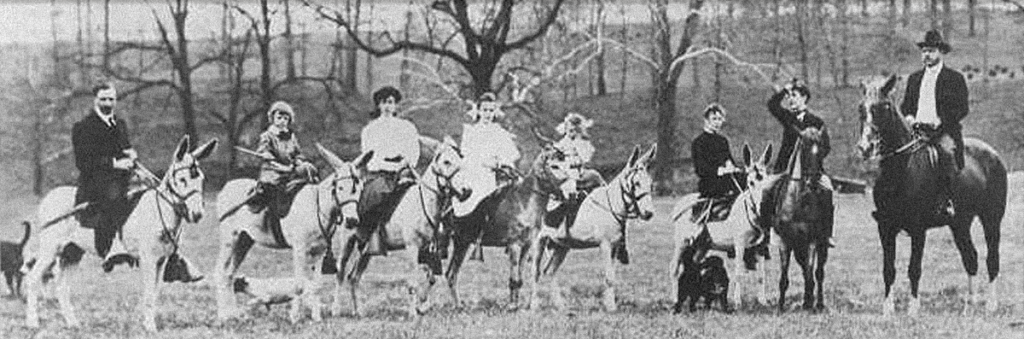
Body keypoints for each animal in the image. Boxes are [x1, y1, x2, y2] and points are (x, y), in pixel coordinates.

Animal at [444, 146, 581, 307]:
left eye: (571, 166)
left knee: (451, 275)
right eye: (555, 166)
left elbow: (520, 279)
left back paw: (458, 305)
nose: (572, 195)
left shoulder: (527, 246)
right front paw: (512, 305)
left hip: (462, 244)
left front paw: (516, 304)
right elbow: (514, 279)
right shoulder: (514, 245)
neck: (523, 202)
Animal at [856, 76, 1007, 315]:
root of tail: (992, 153)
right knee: (970, 258)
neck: (901, 168)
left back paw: (991, 305)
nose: (865, 148)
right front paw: (888, 311)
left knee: (991, 259)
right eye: (861, 108)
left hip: (991, 219)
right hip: (960, 223)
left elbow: (914, 269)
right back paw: (969, 305)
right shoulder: (885, 227)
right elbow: (888, 269)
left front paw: (913, 310)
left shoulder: (918, 229)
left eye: (884, 107)